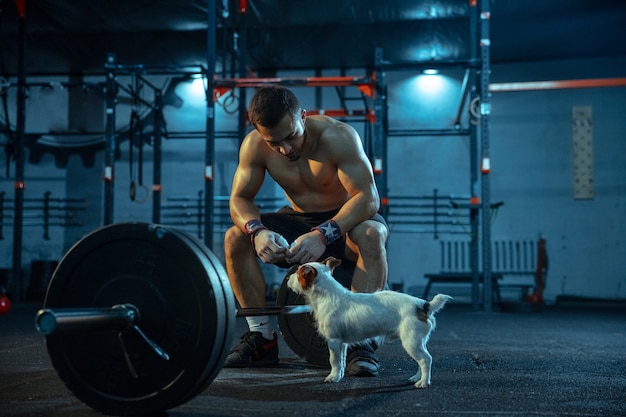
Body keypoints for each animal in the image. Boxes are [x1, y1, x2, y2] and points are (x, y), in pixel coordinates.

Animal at [286, 255, 450, 388]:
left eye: (298, 274)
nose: (287, 279)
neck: (327, 295)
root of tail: (424, 305)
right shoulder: (342, 343)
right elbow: (342, 361)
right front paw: (339, 375)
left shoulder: (333, 341)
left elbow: (334, 361)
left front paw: (332, 377)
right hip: (418, 341)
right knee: (421, 360)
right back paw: (417, 378)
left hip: (411, 341)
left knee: (426, 359)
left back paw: (423, 382)